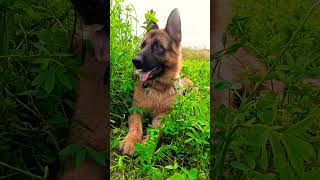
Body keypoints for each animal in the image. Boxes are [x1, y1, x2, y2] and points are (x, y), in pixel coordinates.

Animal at [118, 8, 191, 155]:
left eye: (157, 46)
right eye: (142, 45)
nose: (135, 61)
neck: (156, 87)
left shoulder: (163, 115)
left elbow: (155, 131)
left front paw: (146, 146)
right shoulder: (136, 110)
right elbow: (136, 125)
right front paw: (131, 140)